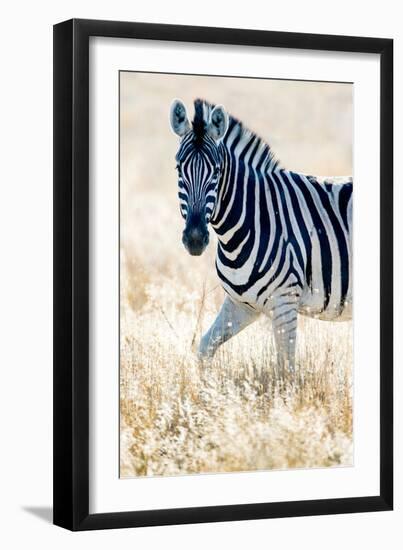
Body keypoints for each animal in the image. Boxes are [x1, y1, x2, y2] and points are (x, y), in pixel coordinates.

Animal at [169, 98, 352, 380]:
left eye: (217, 172)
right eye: (179, 169)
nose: (195, 239)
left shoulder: (285, 302)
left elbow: (286, 371)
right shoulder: (241, 304)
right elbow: (204, 347)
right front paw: (203, 388)